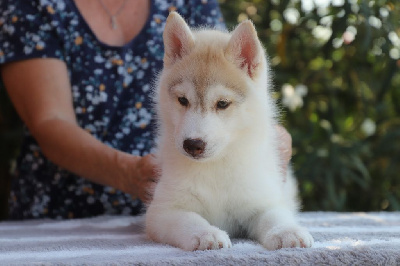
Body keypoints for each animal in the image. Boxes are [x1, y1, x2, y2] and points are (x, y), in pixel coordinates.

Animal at [145, 10, 314, 251]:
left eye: (222, 104)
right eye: (183, 100)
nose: (192, 145)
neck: (215, 167)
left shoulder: (262, 200)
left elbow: (275, 216)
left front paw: (287, 232)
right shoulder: (164, 210)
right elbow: (190, 220)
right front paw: (206, 234)